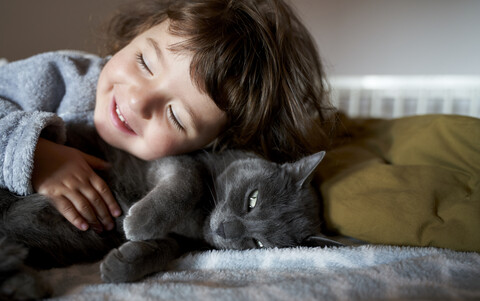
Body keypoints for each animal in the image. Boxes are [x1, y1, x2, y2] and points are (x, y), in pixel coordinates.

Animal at [0, 147, 340, 298]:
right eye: (252, 199)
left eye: (258, 244)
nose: (227, 230)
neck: (200, 220)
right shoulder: (172, 161)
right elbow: (189, 181)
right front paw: (139, 222)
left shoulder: (181, 241)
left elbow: (163, 249)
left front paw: (119, 266)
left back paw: (23, 284)